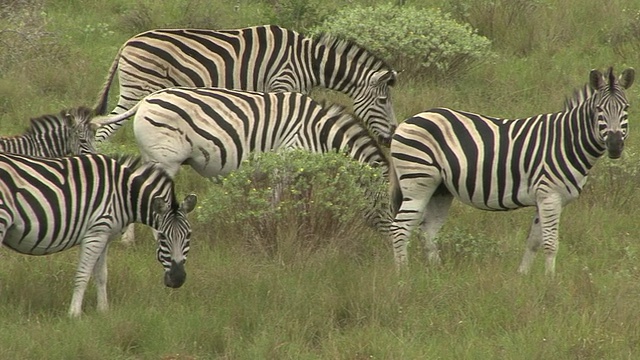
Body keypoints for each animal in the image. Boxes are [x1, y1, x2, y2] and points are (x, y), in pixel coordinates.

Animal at [0, 153, 198, 318]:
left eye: (188, 236)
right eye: (162, 237)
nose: (178, 279)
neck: (123, 194)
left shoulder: (104, 236)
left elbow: (101, 275)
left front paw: (103, 311)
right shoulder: (96, 233)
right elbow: (83, 275)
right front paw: (74, 314)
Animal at [92, 23, 398, 146]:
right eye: (383, 102)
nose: (390, 138)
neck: (309, 61)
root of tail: (128, 42)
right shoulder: (282, 83)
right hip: (138, 89)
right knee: (105, 129)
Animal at [92, 87, 388, 245]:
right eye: (388, 206)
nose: (386, 245)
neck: (319, 131)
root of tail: (145, 100)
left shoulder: (301, 170)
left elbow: (301, 201)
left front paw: (302, 229)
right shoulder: (286, 161)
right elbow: (274, 201)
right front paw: (268, 231)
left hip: (153, 155)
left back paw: (129, 240)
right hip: (166, 158)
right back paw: (154, 236)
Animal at [390, 67, 636, 276]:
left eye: (626, 109)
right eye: (599, 109)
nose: (615, 145)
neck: (567, 141)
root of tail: (410, 119)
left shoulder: (543, 198)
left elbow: (534, 241)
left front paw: (523, 277)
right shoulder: (550, 196)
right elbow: (550, 244)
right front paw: (550, 283)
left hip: (441, 189)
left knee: (428, 230)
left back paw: (437, 273)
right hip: (418, 181)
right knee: (400, 228)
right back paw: (403, 277)